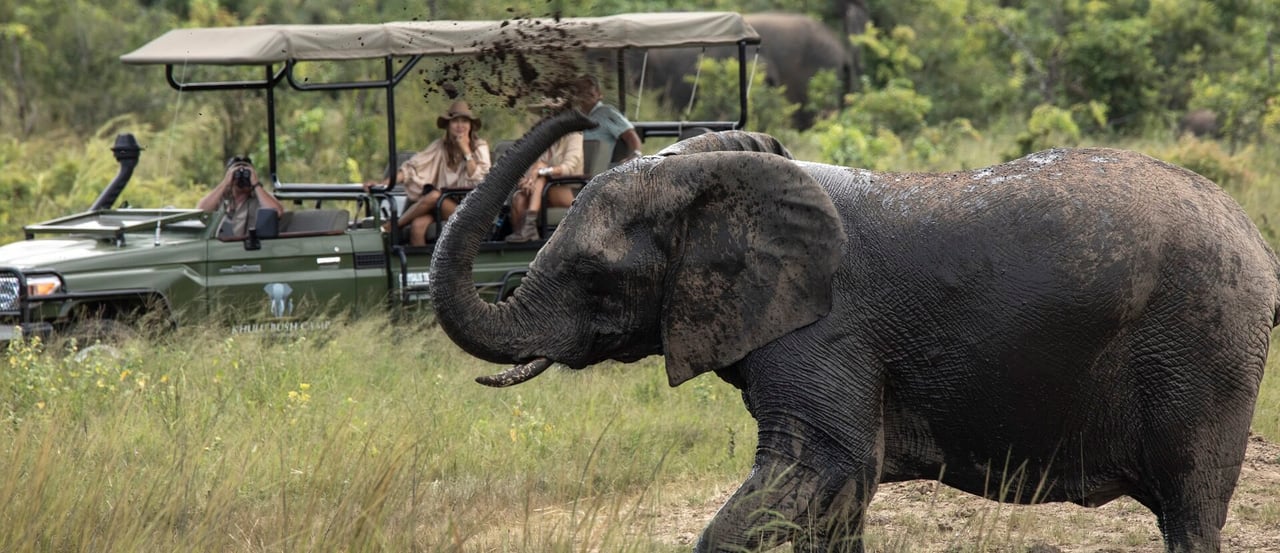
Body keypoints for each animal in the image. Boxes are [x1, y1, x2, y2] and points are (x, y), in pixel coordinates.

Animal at [430, 108, 1280, 553]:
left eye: (595, 273)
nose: (595, 113)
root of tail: (1255, 235)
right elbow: (839, 495)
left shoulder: (827, 333)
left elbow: (822, 468)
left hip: (1206, 348)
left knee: (1191, 508)